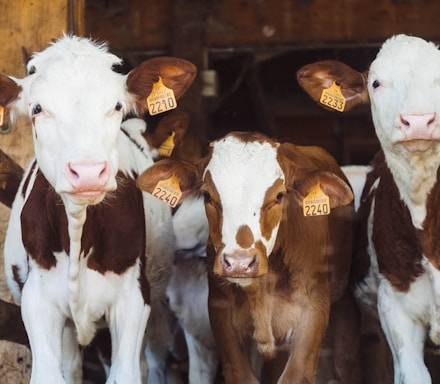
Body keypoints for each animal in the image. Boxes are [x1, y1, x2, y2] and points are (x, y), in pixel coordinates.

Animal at [0, 34, 195, 382]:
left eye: (117, 105)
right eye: (37, 108)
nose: (88, 171)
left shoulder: (134, 299)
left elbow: (126, 373)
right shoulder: (37, 300)